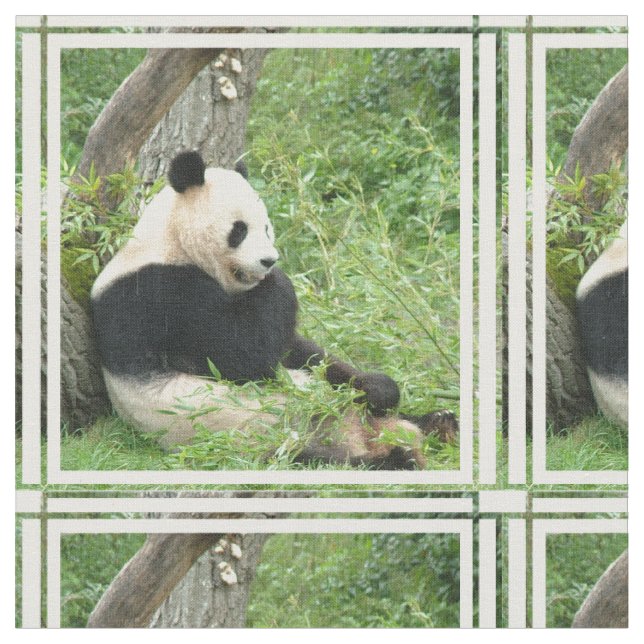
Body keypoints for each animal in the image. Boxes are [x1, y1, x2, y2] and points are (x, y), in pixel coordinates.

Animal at [90, 151, 458, 469]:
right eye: (239, 230)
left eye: (266, 227)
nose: (268, 260)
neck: (170, 241)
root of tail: (360, 435)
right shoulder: (162, 296)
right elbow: (246, 354)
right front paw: (278, 280)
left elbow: (302, 352)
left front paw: (380, 387)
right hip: (262, 441)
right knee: (319, 461)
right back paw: (399, 457)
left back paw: (439, 423)